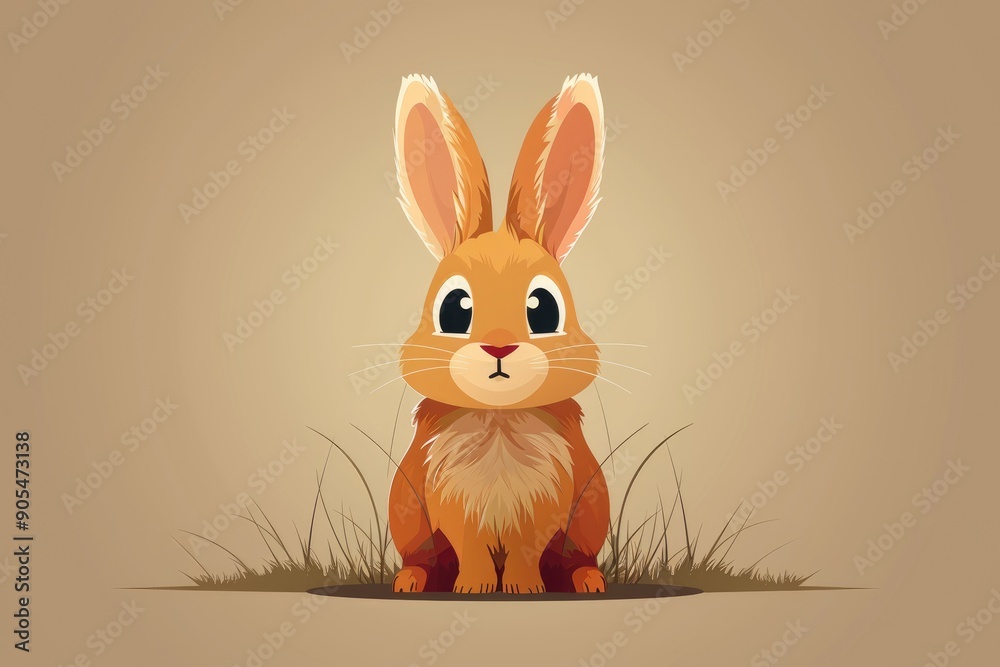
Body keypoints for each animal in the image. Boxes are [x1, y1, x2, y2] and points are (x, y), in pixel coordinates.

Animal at [386, 73, 610, 594]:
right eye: (454, 309)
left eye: (544, 309)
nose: (499, 346)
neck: (499, 419)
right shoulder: (451, 504)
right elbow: (472, 552)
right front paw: (474, 588)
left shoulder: (547, 507)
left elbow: (528, 554)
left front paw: (524, 589)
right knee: (421, 558)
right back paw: (410, 581)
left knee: (578, 559)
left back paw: (590, 581)